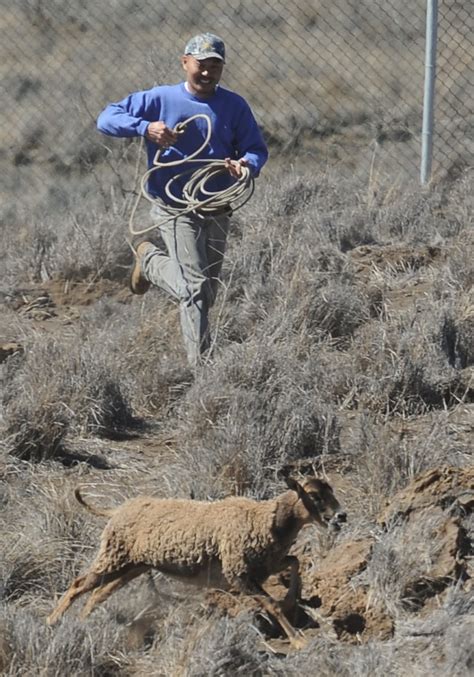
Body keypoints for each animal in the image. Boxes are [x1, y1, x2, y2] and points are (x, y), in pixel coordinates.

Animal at [46, 475, 346, 647]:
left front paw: (293, 600)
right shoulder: (238, 573)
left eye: (331, 492)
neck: (266, 521)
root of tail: (117, 509)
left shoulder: (265, 567)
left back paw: (82, 622)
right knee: (79, 584)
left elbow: (294, 562)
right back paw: (53, 622)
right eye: (314, 496)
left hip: (132, 565)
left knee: (98, 593)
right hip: (114, 557)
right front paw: (297, 640)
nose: (341, 516)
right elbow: (271, 603)